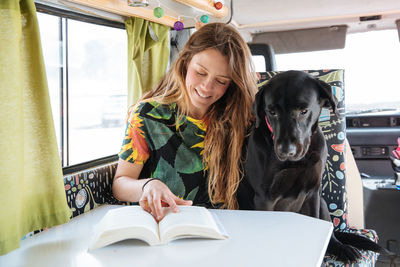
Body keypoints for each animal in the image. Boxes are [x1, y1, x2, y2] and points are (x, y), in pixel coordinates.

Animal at [242, 70, 390, 262]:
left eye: (304, 111)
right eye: (271, 112)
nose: (286, 150)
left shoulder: (312, 192)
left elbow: (317, 220)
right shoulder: (264, 198)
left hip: (323, 203)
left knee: (331, 232)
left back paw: (342, 248)